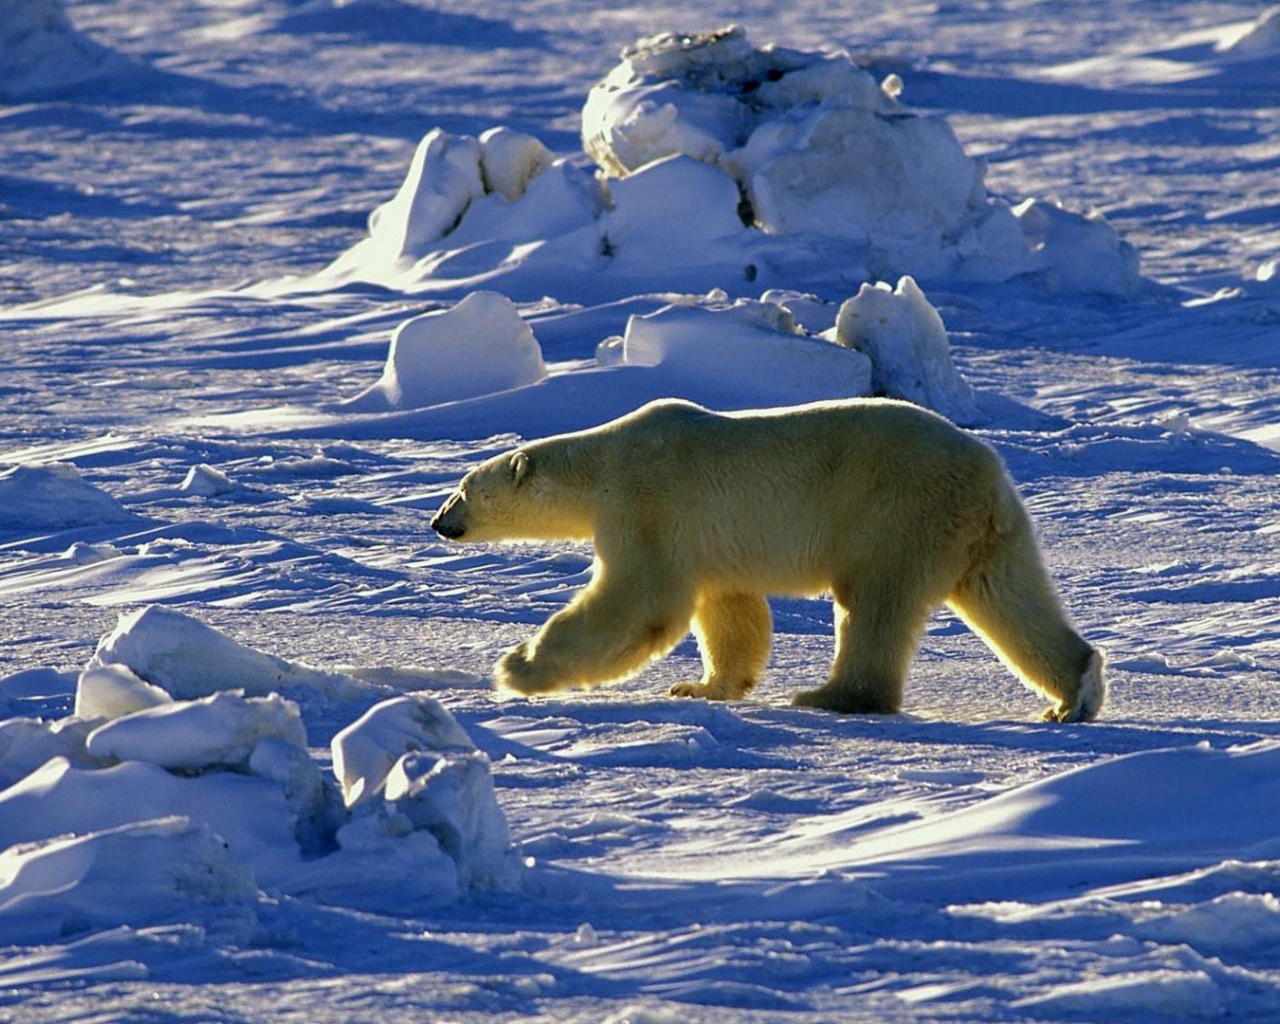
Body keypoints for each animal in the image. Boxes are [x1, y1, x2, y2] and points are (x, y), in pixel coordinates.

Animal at [427, 396, 1100, 721]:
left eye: (462, 488)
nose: (437, 522)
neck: (606, 461)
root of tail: (988, 475)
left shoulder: (648, 503)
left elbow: (641, 600)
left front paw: (517, 667)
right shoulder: (706, 541)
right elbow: (730, 610)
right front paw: (701, 686)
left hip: (897, 512)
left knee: (873, 603)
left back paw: (832, 696)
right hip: (986, 534)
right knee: (1011, 598)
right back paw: (1073, 694)